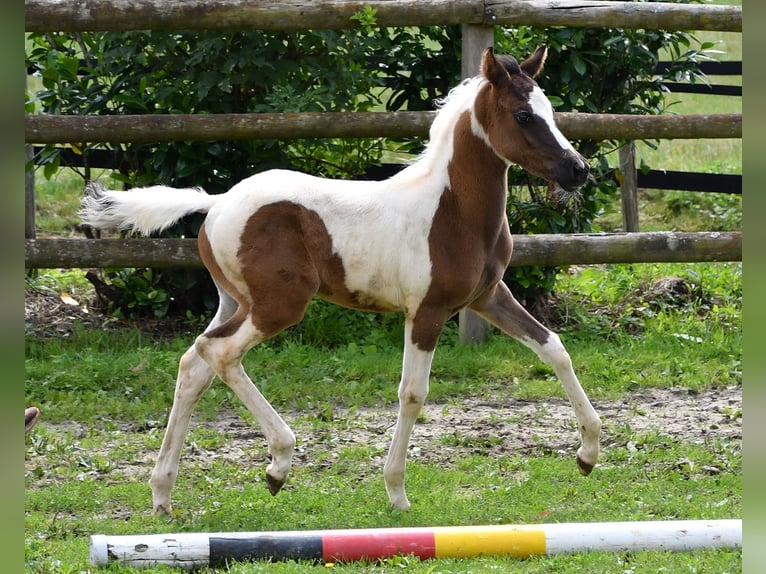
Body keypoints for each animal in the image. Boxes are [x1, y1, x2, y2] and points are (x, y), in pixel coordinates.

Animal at [80, 46, 602, 514]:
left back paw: (163, 495)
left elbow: (554, 348)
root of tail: (218, 201)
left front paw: (588, 454)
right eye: (523, 116)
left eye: (550, 111)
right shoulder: (427, 311)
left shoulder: (488, 297)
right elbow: (412, 393)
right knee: (219, 353)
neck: (452, 211)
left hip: (236, 302)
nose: (578, 170)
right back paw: (278, 464)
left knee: (193, 364)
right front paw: (396, 492)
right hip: (278, 306)